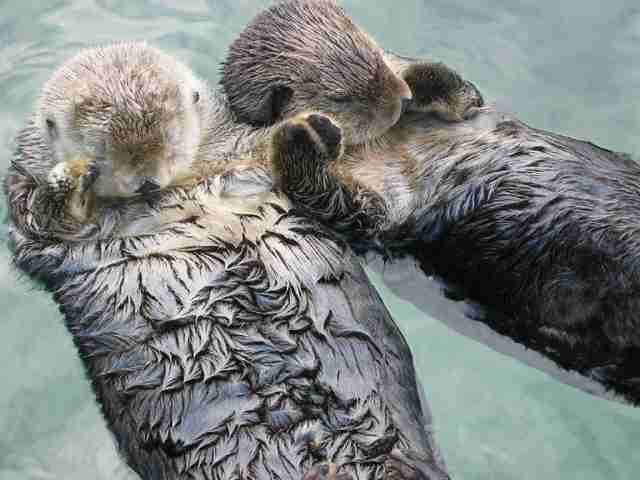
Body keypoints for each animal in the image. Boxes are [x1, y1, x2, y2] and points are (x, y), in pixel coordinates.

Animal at [6, 44, 456, 480]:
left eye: (172, 139)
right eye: (101, 153)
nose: (147, 183)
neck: (182, 187)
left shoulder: (243, 153)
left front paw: (320, 125)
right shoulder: (31, 220)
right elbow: (45, 219)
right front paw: (70, 175)